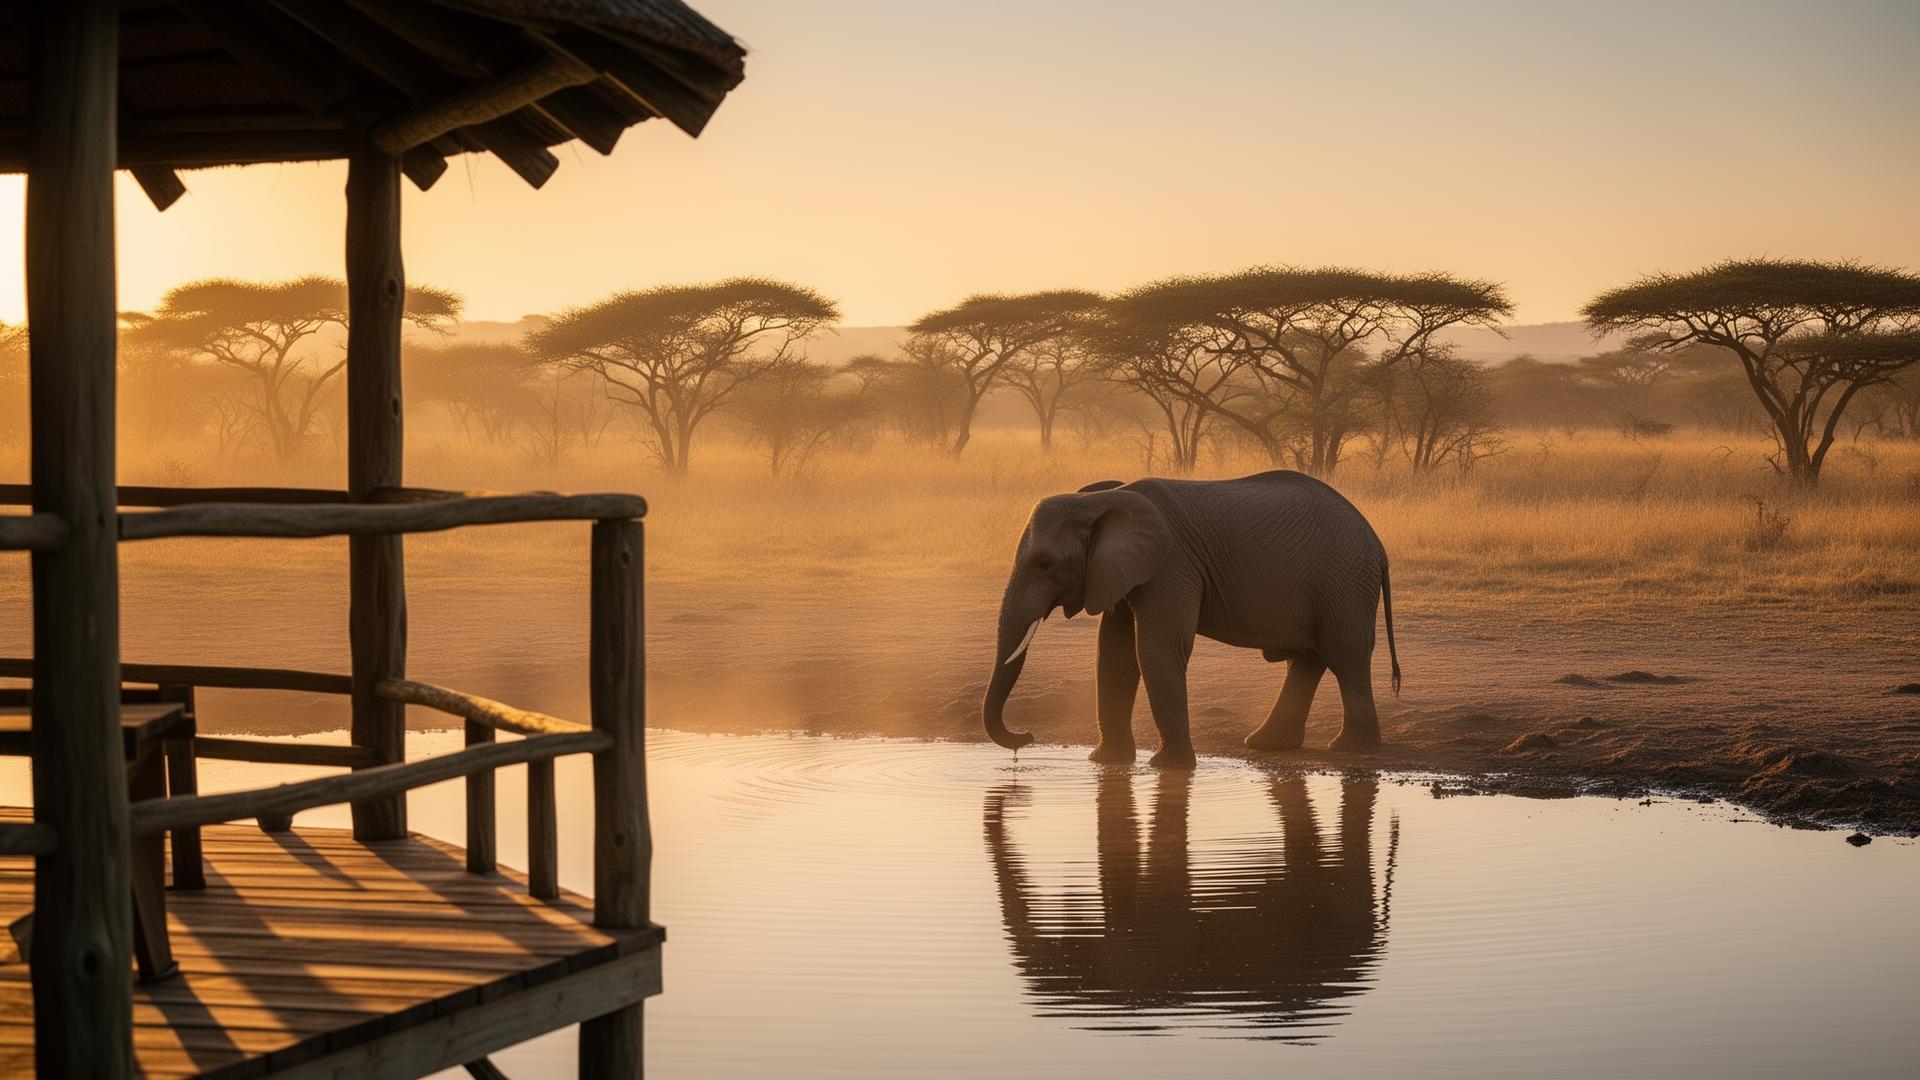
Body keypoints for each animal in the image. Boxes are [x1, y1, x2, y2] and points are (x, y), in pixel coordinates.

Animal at [981, 470, 1400, 766]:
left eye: (1045, 563)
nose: (1026, 738)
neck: (1104, 498)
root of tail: (1378, 544)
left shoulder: (1171, 563)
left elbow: (1156, 648)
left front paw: (1169, 768)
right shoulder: (1120, 569)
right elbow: (1115, 654)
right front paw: (1106, 763)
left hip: (1343, 582)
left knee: (1344, 656)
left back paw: (1348, 747)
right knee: (1308, 660)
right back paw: (1266, 744)